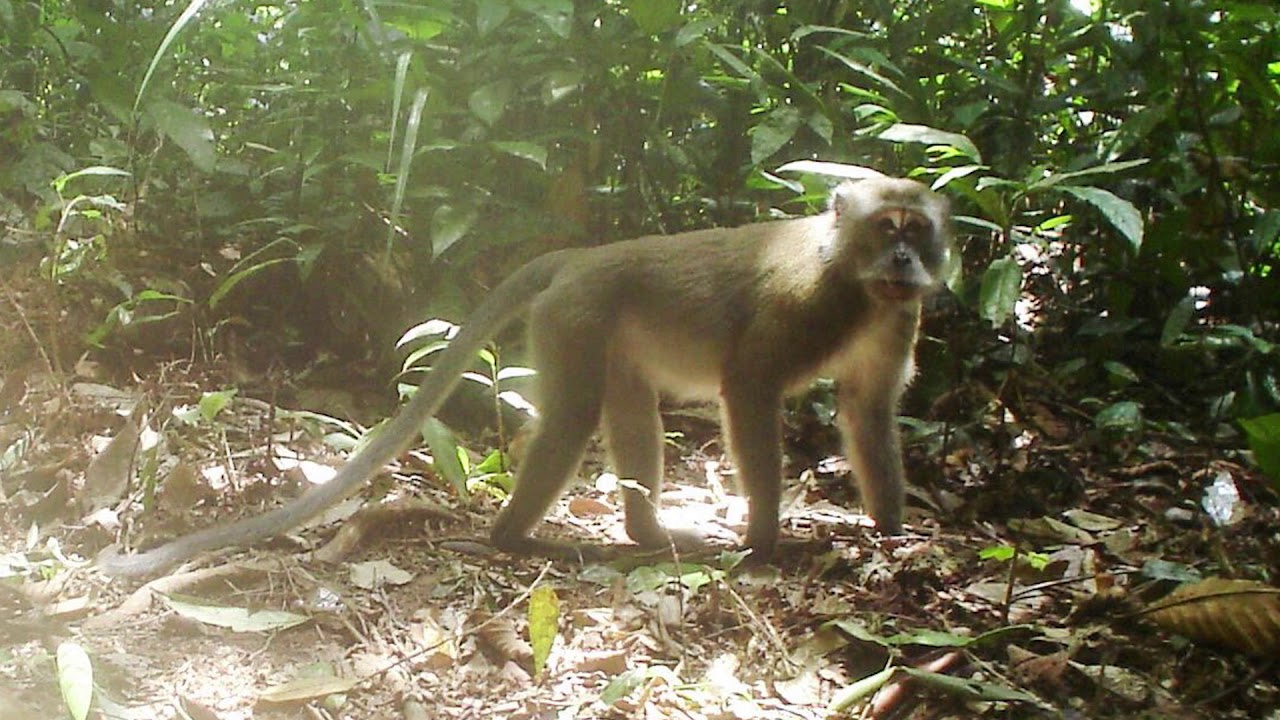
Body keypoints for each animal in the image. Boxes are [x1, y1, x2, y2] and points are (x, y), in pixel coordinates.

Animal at [96, 176, 950, 577]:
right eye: (888, 228)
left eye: (918, 229)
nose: (906, 259)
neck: (856, 286)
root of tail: (584, 256)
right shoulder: (803, 307)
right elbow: (748, 386)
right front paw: (766, 542)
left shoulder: (895, 321)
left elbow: (868, 411)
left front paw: (893, 529)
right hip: (574, 318)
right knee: (574, 416)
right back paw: (515, 539)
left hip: (596, 326)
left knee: (626, 406)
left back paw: (645, 534)